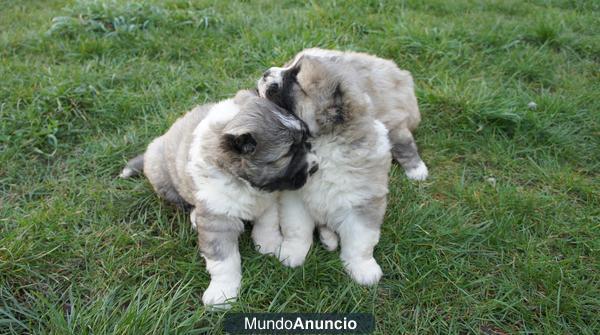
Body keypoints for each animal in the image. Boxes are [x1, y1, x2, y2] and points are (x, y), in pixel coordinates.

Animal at [121, 90, 318, 310]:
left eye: (305, 141)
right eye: (288, 152)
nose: (315, 167)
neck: (243, 181)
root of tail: (159, 141)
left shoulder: (268, 199)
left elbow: (267, 223)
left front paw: (269, 244)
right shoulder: (218, 221)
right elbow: (225, 261)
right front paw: (222, 294)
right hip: (163, 178)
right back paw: (194, 217)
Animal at [256, 55, 390, 286]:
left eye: (295, 78)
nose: (266, 73)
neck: (324, 145)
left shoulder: (363, 203)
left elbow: (360, 241)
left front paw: (363, 269)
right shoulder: (295, 199)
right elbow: (297, 229)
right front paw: (292, 253)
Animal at [258, 47, 426, 181]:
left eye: (295, 81)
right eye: (288, 66)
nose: (266, 74)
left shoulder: (392, 117)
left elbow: (403, 143)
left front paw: (417, 170)